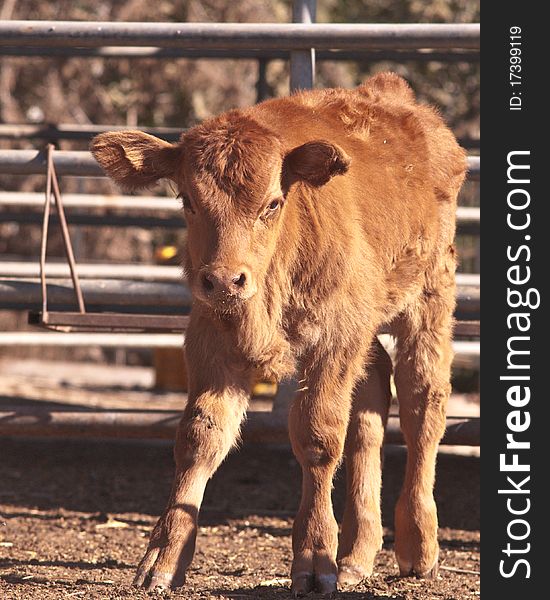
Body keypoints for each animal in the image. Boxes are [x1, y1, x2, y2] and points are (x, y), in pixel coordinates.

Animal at [91, 72, 470, 592]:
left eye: (272, 203)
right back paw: (357, 554)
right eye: (188, 200)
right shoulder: (211, 341)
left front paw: (314, 559)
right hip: (367, 325)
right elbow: (199, 438)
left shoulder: (333, 339)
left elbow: (317, 435)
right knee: (372, 401)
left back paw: (417, 546)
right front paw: (163, 559)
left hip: (428, 298)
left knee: (422, 404)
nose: (224, 281)